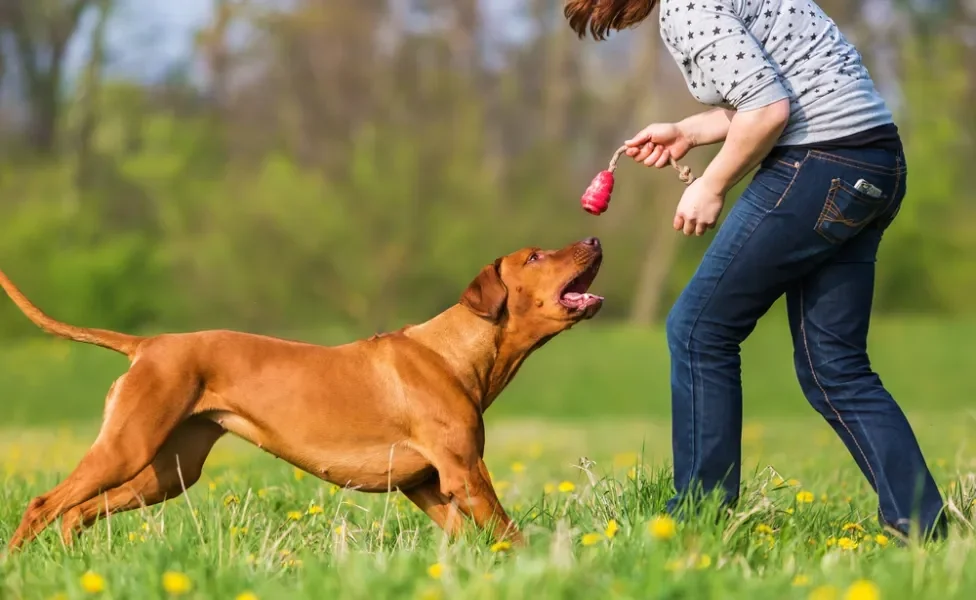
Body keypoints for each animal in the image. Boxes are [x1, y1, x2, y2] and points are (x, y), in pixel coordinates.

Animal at [0, 237, 604, 552]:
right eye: (533, 257)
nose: (594, 239)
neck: (455, 351)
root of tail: (148, 345)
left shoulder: (428, 485)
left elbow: (475, 541)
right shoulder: (465, 473)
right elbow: (510, 534)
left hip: (167, 472)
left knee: (78, 512)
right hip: (127, 448)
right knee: (44, 504)